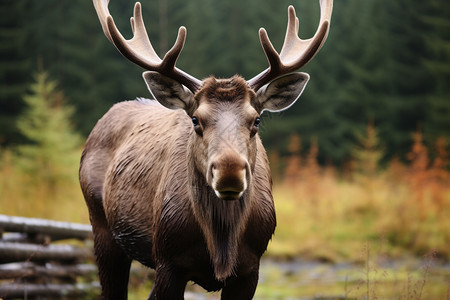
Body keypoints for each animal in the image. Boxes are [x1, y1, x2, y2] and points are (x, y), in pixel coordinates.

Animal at [80, 0, 330, 298]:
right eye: (196, 120)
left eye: (256, 120)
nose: (230, 171)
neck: (221, 244)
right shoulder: (168, 262)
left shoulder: (251, 269)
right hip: (101, 225)